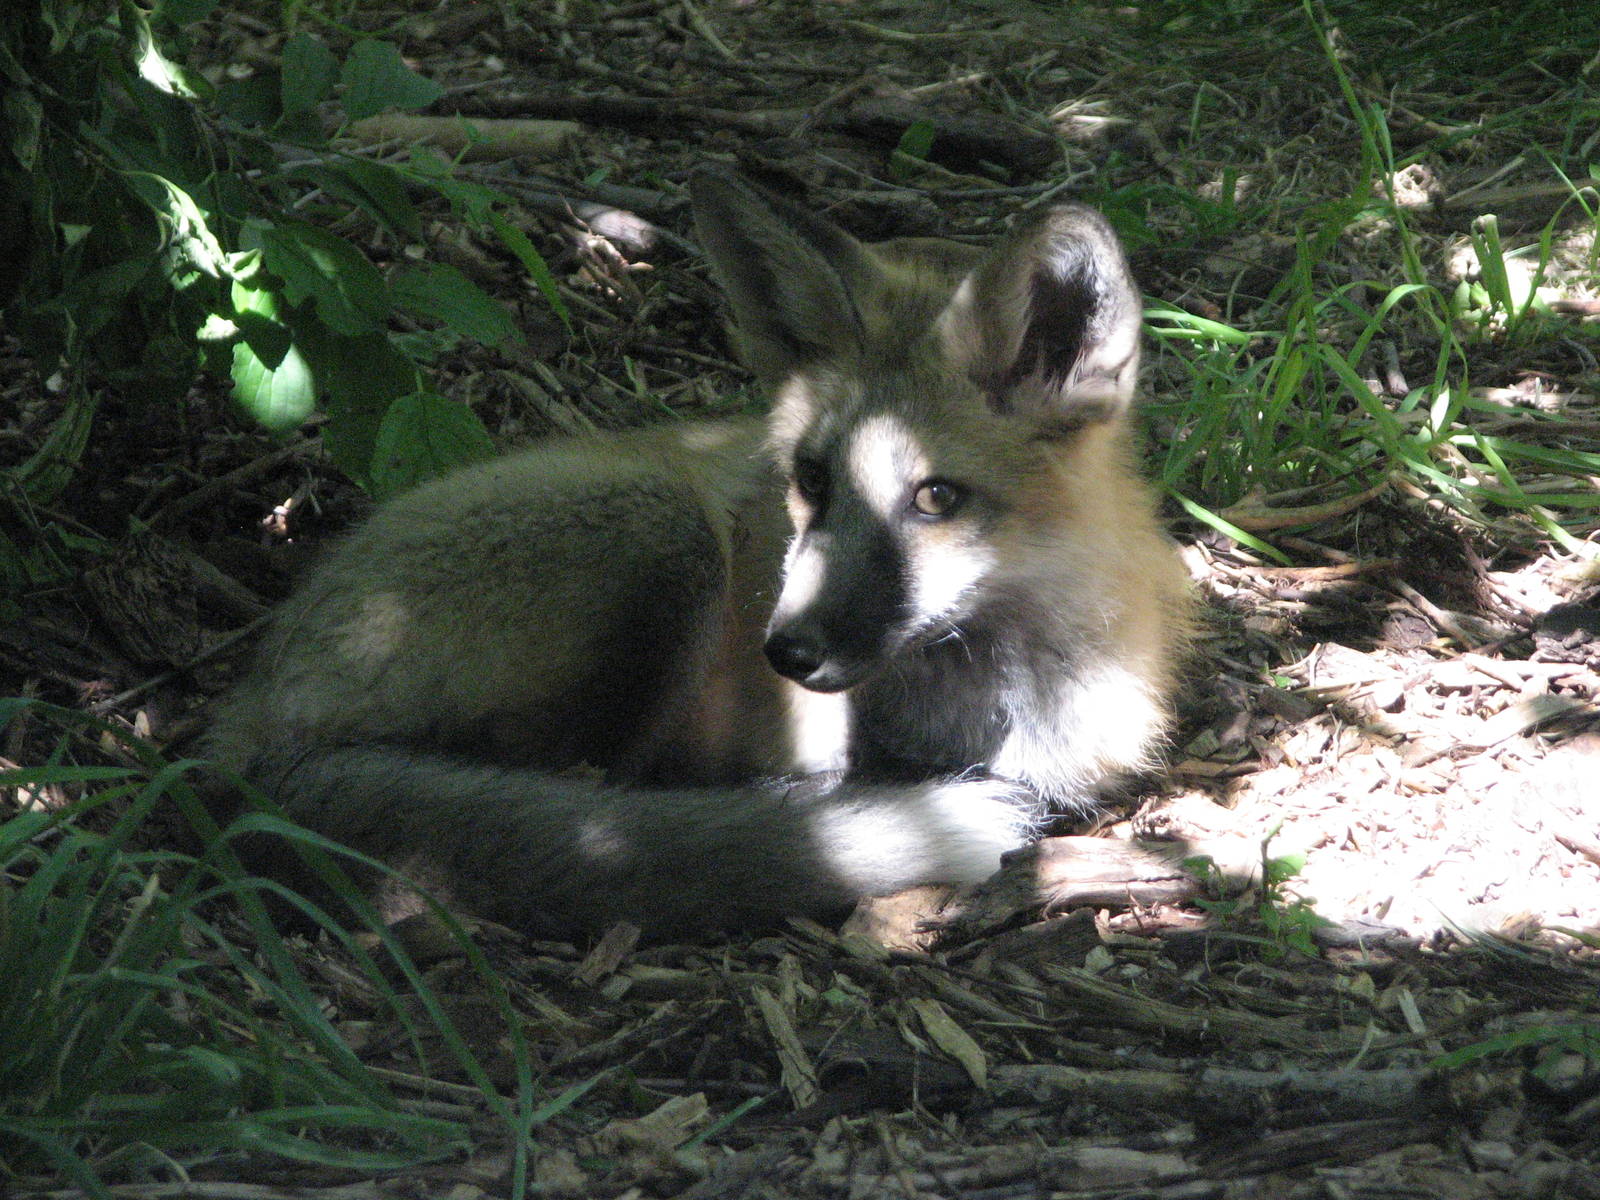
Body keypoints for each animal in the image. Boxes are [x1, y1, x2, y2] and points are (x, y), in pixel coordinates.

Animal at [206, 168, 1192, 940]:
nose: (786, 652)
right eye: (811, 479)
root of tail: (245, 726)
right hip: (661, 533)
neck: (1003, 699)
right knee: (593, 812)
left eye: (935, 499)